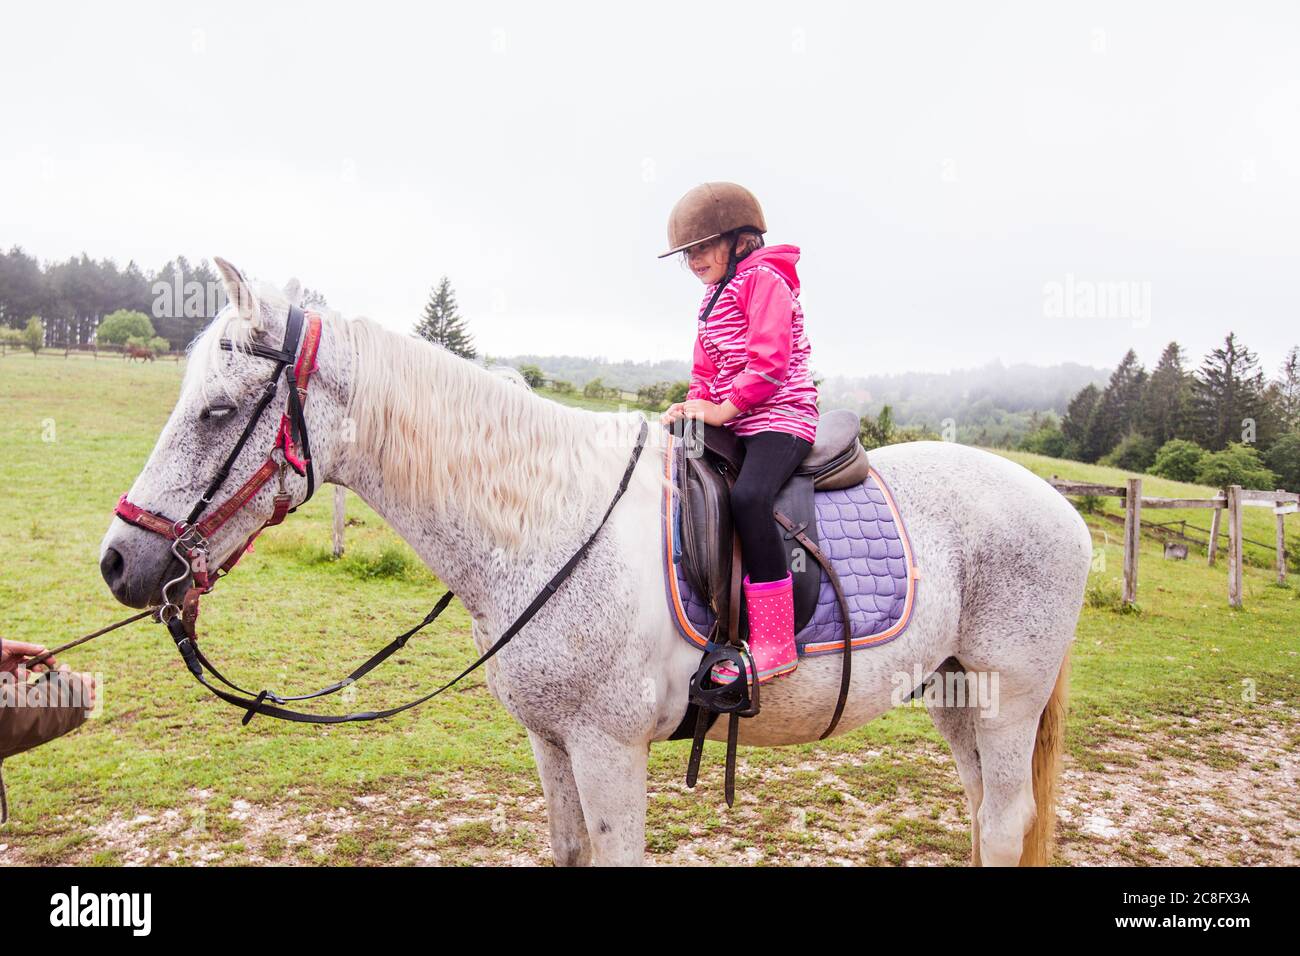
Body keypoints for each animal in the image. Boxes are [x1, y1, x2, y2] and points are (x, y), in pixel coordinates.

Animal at [101, 260, 1092, 868]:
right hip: (957, 695)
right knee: (984, 817)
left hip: (1007, 701)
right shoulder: (552, 742)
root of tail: (1064, 508)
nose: (119, 562)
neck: (547, 520)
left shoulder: (608, 748)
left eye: (218, 413)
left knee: (1005, 819)